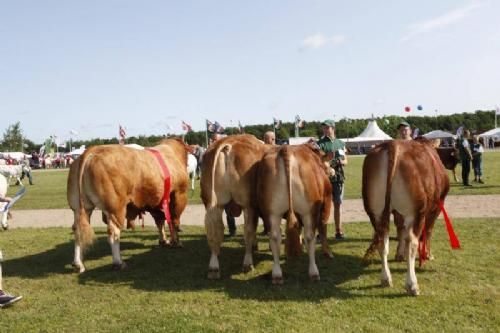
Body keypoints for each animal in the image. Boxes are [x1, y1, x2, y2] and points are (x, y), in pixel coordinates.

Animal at [68, 139, 189, 272]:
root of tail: (92, 150)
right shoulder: (179, 194)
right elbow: (174, 220)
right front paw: (176, 242)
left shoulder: (154, 201)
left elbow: (160, 221)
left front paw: (164, 241)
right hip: (115, 208)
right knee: (113, 232)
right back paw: (118, 262)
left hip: (79, 206)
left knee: (78, 229)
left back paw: (78, 263)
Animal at [200, 134, 270, 278]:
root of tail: (228, 144)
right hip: (248, 203)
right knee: (248, 230)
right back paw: (248, 264)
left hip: (212, 203)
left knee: (214, 230)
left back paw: (213, 267)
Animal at [258, 143, 332, 282]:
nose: (332, 172)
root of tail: (286, 149)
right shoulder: (326, 203)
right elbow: (323, 227)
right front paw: (328, 253)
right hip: (309, 211)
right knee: (310, 236)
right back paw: (314, 272)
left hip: (271, 211)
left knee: (275, 237)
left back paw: (277, 275)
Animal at [364, 139, 450, 294]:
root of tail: (392, 144)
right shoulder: (436, 208)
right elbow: (428, 231)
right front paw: (428, 255)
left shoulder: (397, 213)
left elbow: (400, 231)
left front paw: (399, 255)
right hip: (416, 212)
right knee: (412, 242)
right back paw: (412, 285)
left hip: (375, 212)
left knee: (382, 241)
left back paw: (385, 279)